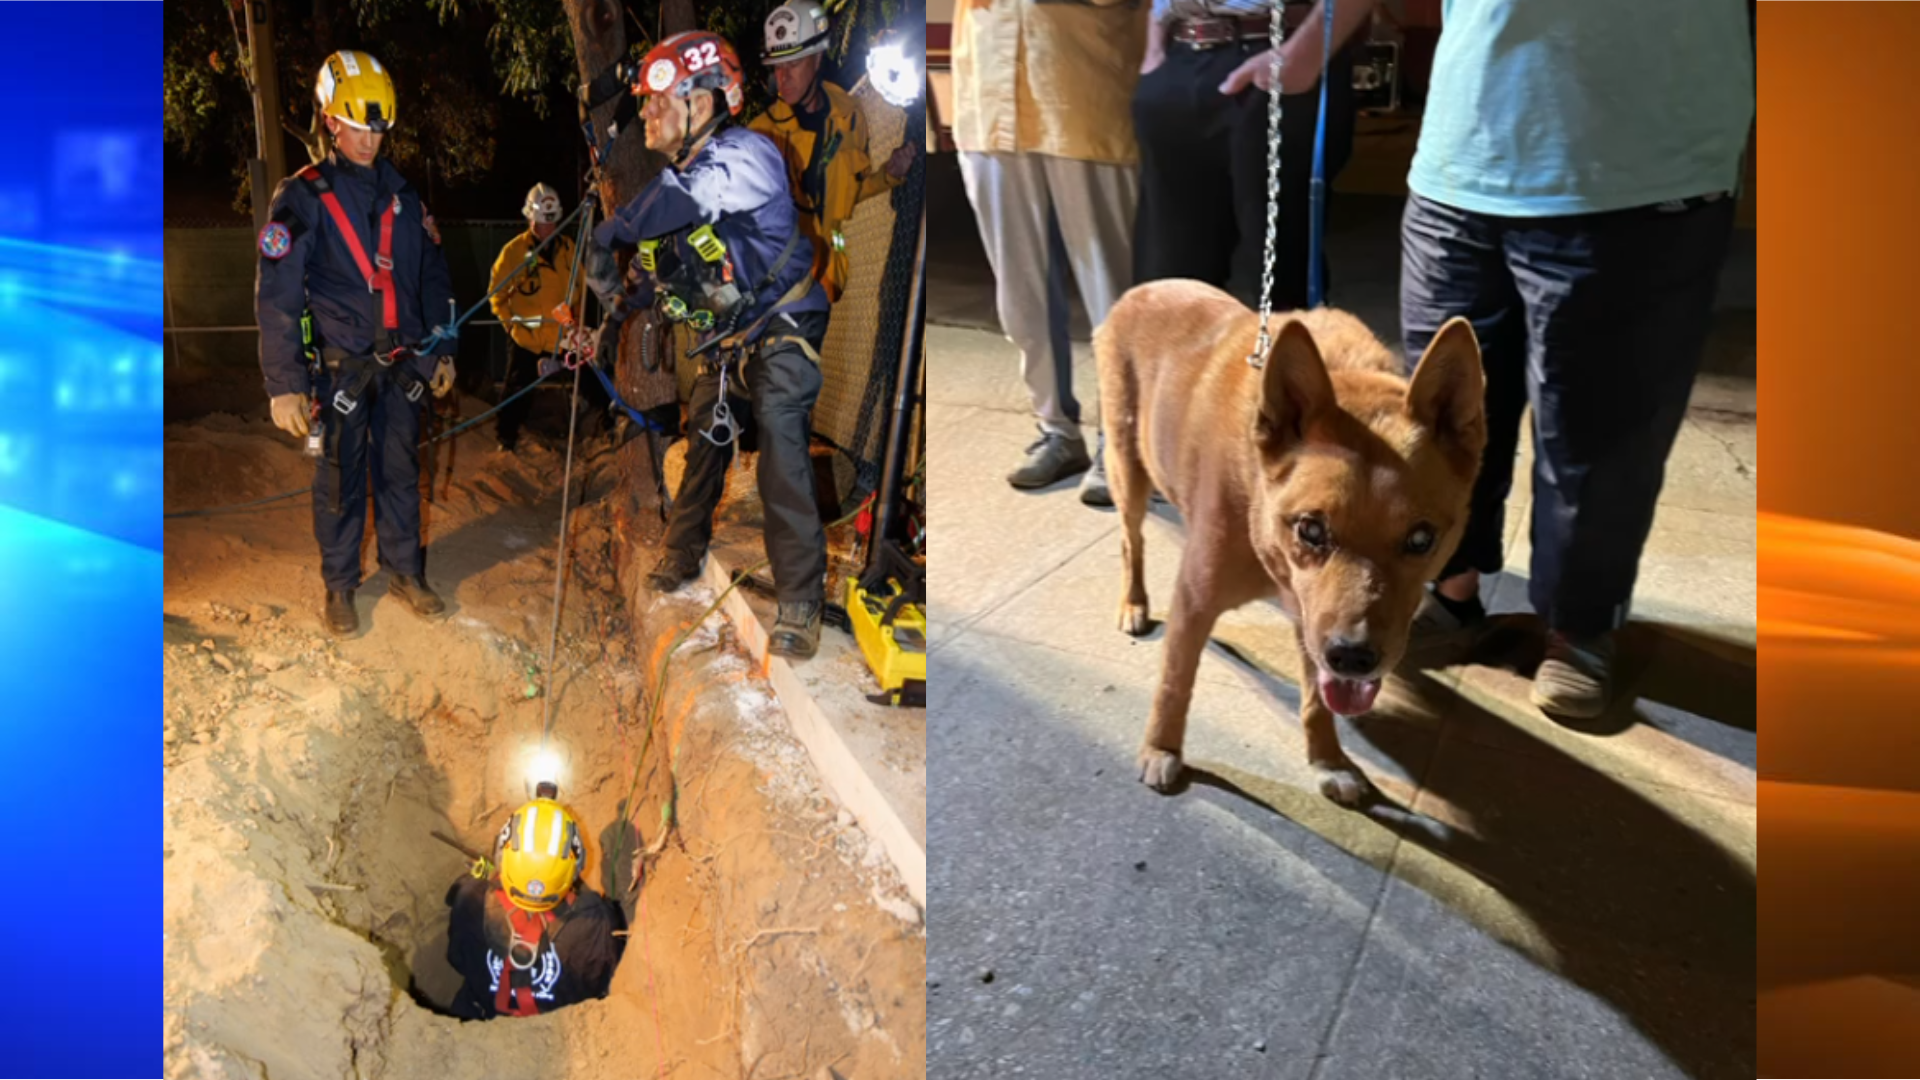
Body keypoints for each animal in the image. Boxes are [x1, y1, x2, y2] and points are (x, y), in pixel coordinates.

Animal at [1098, 282, 1482, 803]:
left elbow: (1317, 700)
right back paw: (1134, 603)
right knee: (1130, 542)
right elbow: (1175, 682)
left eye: (1422, 539)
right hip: (1128, 472)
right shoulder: (1199, 598)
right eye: (1311, 530)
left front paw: (1329, 761)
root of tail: (1145, 288)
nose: (1354, 658)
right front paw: (1161, 748)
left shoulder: (1311, 619)